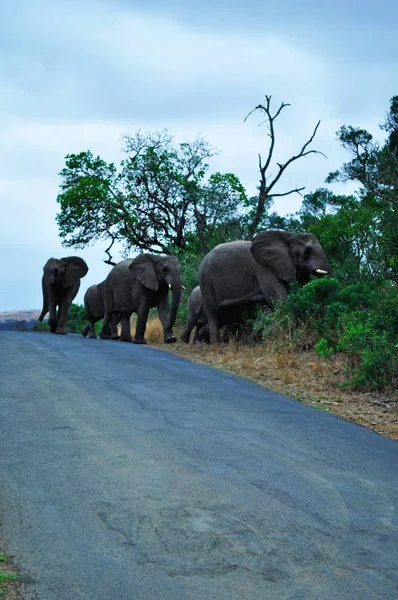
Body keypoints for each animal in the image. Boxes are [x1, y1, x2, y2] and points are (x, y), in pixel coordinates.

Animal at [197, 229, 332, 344]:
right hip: (206, 281)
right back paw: (215, 345)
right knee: (213, 315)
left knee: (228, 315)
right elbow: (279, 300)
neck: (288, 236)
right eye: (307, 252)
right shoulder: (264, 268)